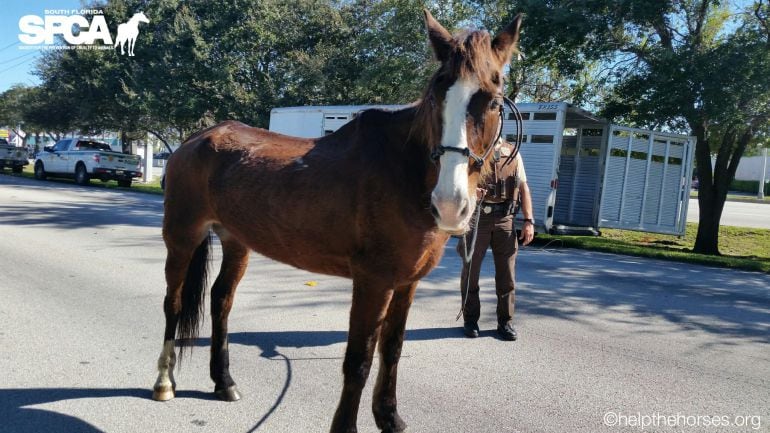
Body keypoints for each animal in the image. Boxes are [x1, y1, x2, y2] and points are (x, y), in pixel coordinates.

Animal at [150, 10, 520, 432]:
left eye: (493, 101)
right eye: (434, 97)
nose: (448, 204)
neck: (404, 172)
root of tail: (193, 140)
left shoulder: (406, 282)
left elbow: (392, 349)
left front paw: (389, 416)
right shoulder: (373, 281)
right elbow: (358, 360)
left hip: (236, 240)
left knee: (221, 301)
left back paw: (224, 381)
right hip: (182, 236)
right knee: (174, 302)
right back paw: (164, 382)